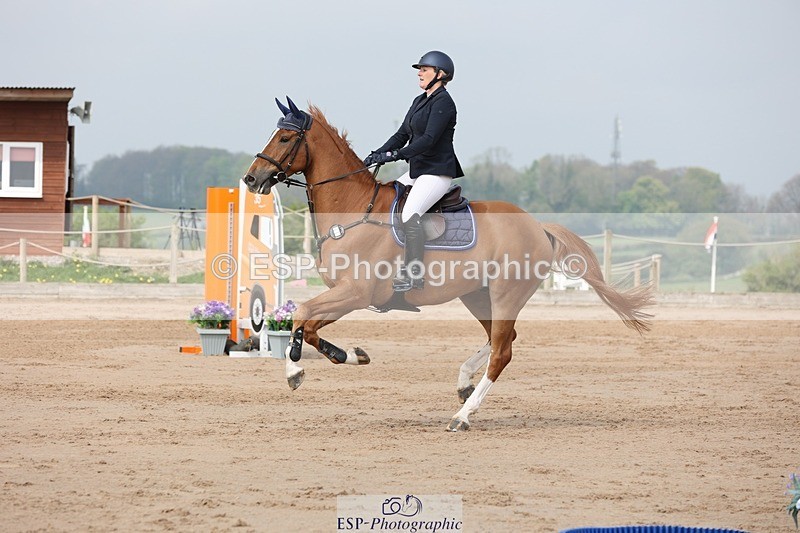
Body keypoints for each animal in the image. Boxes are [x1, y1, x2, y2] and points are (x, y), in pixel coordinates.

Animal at [242, 97, 653, 432]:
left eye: (284, 139)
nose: (251, 178)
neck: (355, 209)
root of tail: (538, 226)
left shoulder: (356, 293)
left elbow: (301, 315)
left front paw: (296, 371)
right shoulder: (347, 296)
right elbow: (308, 325)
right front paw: (350, 355)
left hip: (505, 294)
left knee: (502, 351)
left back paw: (462, 417)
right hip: (477, 296)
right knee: (500, 340)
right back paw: (464, 383)